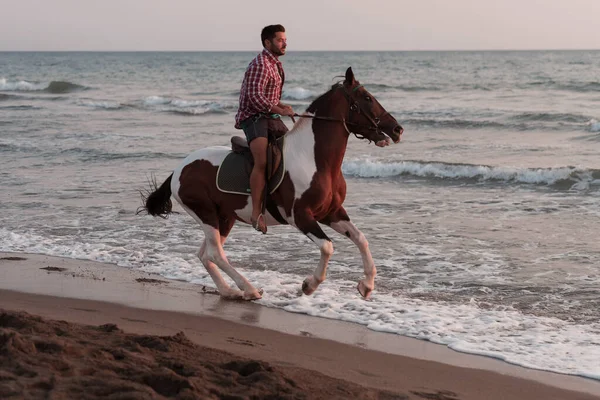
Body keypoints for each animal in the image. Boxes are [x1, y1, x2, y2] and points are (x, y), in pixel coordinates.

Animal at [139, 68, 404, 300]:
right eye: (367, 97)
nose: (397, 129)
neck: (315, 160)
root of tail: (178, 170)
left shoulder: (332, 213)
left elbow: (360, 238)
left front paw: (367, 285)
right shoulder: (300, 216)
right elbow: (328, 247)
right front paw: (309, 285)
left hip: (225, 217)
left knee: (206, 254)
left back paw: (230, 291)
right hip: (206, 214)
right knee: (216, 254)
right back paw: (250, 289)